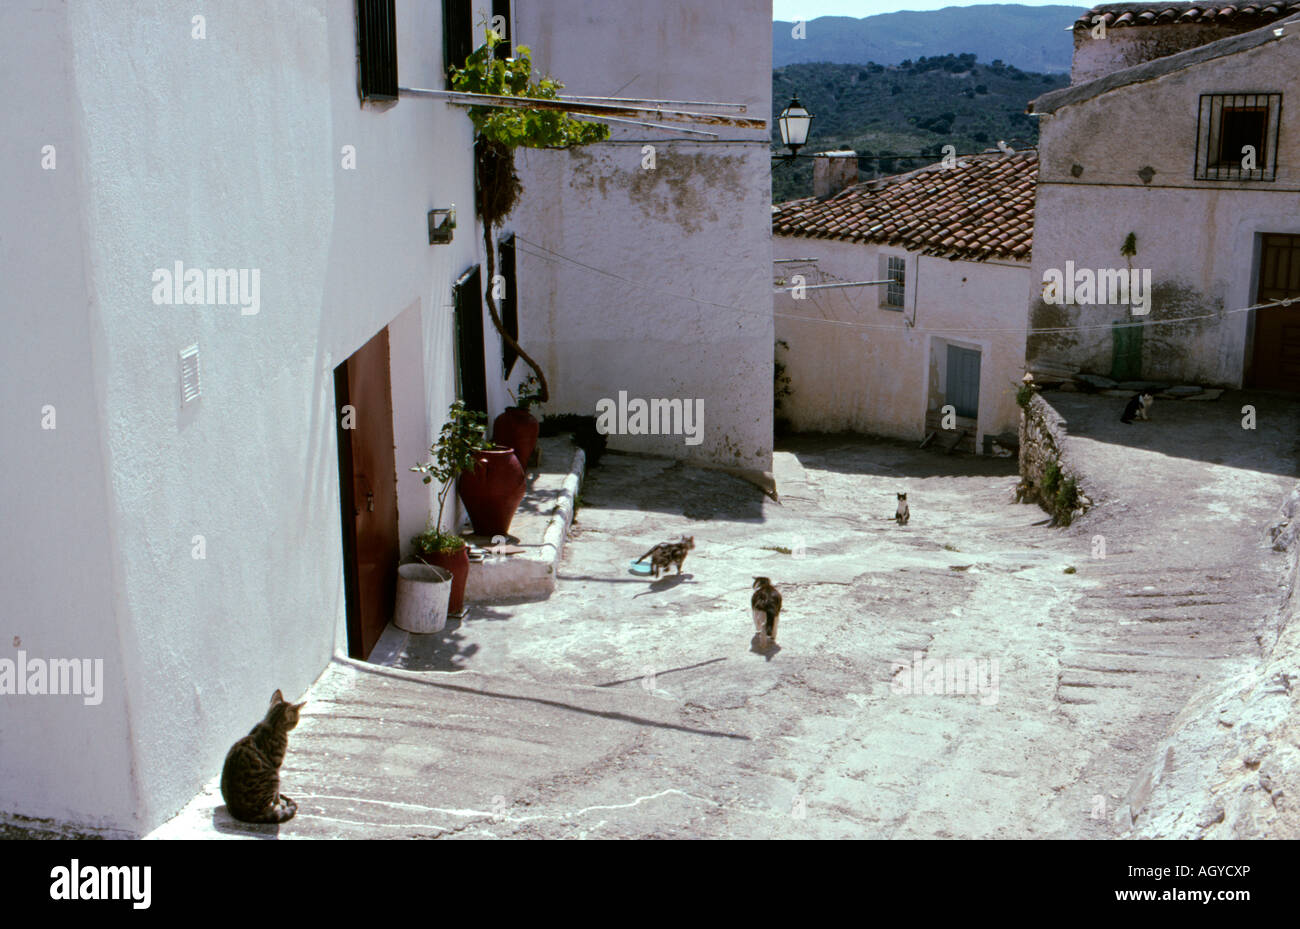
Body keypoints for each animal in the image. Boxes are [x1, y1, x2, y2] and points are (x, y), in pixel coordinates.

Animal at [223, 686, 306, 826]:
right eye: (296, 720)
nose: (297, 723)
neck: (271, 724)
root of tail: (241, 813)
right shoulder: (276, 766)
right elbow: (277, 794)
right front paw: (279, 803)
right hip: (273, 777)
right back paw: (277, 808)